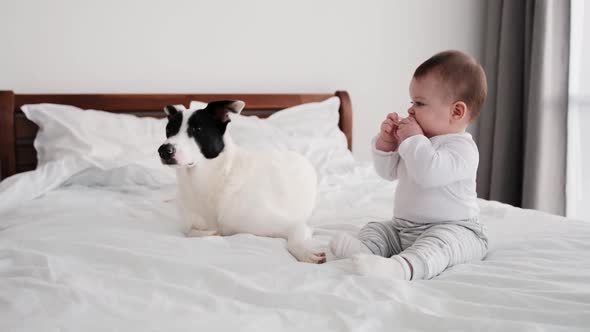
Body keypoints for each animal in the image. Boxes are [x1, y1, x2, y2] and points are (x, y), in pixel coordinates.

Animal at [158, 100, 328, 264]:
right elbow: (192, 232)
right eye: (169, 130)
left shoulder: (293, 225)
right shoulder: (190, 224)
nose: (164, 150)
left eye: (197, 129)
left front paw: (304, 252)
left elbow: (295, 238)